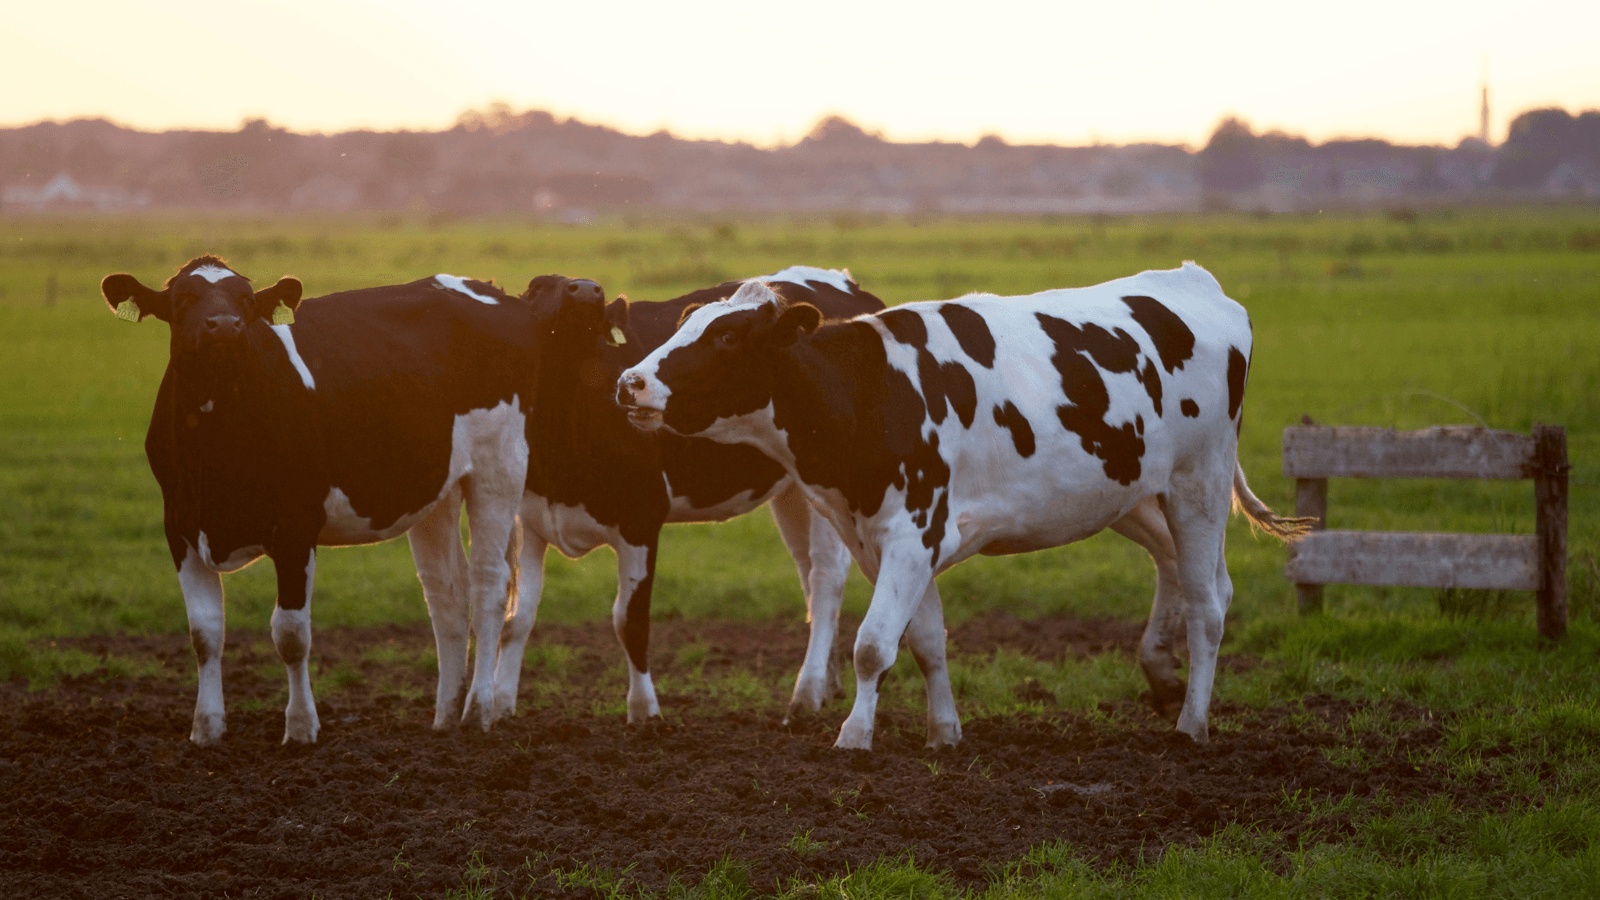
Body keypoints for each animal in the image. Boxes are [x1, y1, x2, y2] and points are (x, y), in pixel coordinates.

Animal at [102, 256, 597, 744]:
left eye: (245, 301)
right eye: (182, 300)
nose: (224, 325)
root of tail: (492, 290)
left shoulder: (295, 527)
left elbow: (291, 633)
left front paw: (301, 727)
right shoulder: (180, 526)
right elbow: (204, 632)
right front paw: (206, 729)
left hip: (499, 468)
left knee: (488, 587)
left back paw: (478, 711)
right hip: (435, 488)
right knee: (446, 594)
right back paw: (445, 714)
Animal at [488, 267, 884, 725]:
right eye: (537, 287)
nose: (587, 289)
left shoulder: (641, 518)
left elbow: (630, 621)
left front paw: (644, 712)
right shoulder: (531, 519)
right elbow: (518, 618)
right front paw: (500, 705)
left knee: (825, 579)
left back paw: (806, 693)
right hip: (793, 491)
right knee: (807, 574)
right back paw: (828, 683)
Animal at [616, 262, 1312, 750]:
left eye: (727, 337)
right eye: (684, 325)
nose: (629, 382)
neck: (871, 391)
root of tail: (1194, 281)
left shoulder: (911, 531)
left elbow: (872, 644)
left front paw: (854, 736)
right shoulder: (887, 540)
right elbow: (924, 640)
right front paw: (943, 732)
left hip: (1199, 483)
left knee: (1208, 605)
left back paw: (1192, 722)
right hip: (1133, 491)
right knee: (1189, 574)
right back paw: (1163, 676)